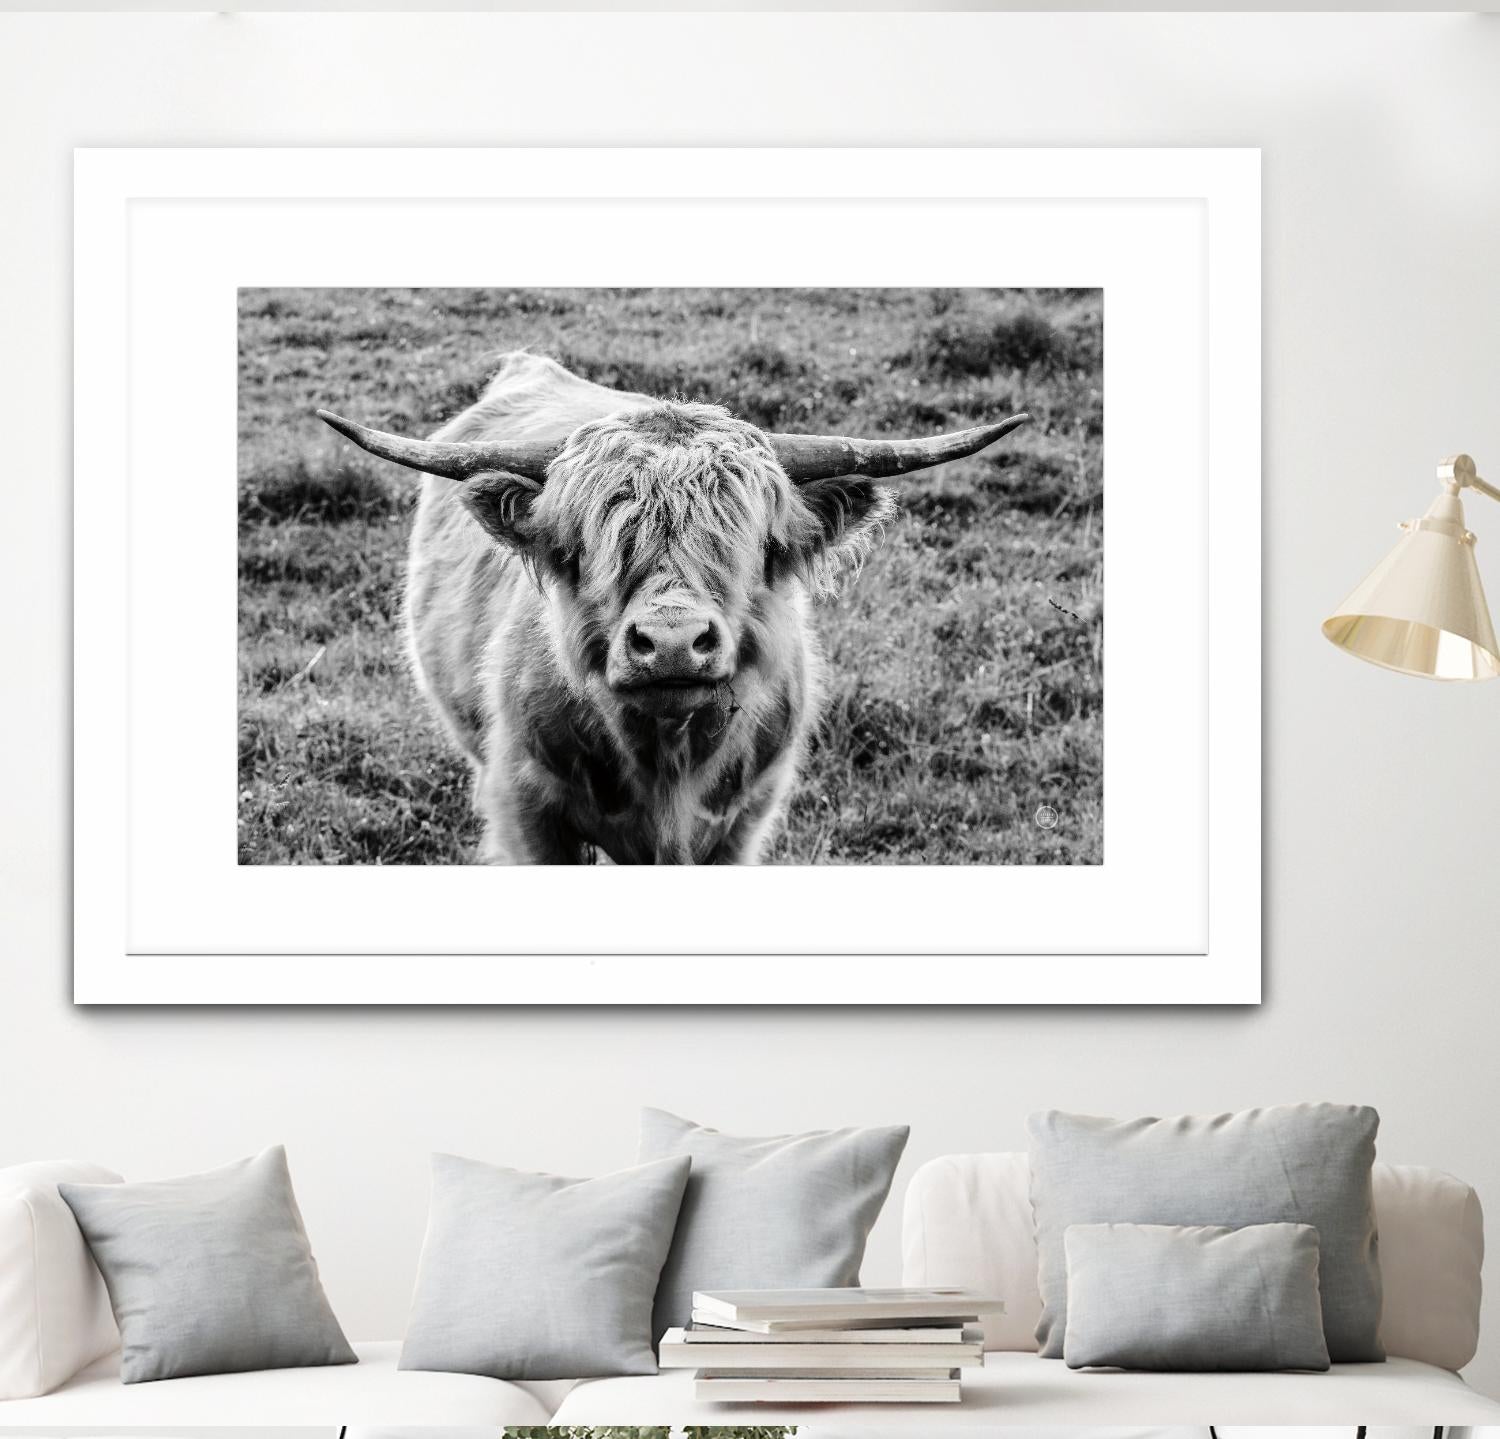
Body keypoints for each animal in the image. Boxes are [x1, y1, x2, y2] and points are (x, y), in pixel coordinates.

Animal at [318, 353, 1027, 864]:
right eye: (585, 545)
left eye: (757, 544)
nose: (672, 643)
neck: (667, 763)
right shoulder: (527, 809)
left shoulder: (744, 821)